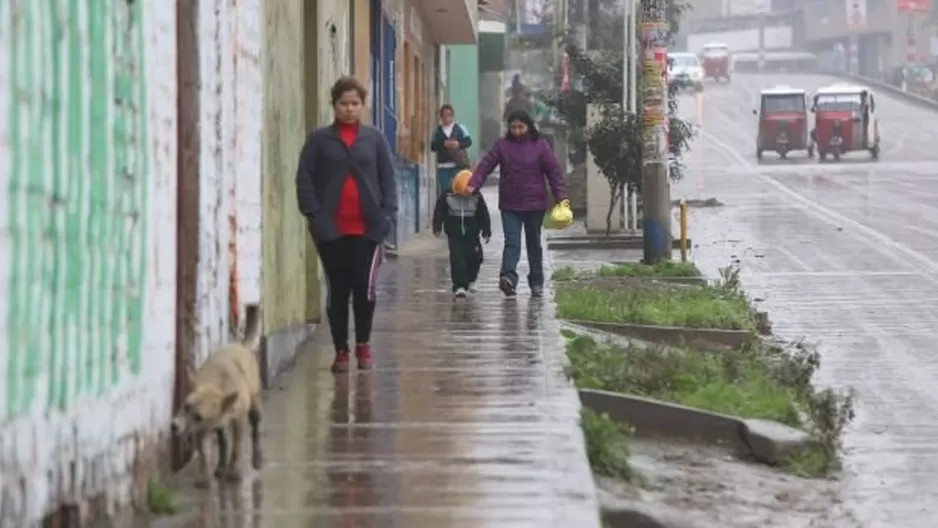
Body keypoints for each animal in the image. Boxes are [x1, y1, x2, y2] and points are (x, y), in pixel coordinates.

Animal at [169, 306, 262, 486]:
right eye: (185, 405)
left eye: (198, 416)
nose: (174, 426)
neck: (217, 385)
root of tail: (241, 346)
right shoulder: (200, 430)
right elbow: (204, 453)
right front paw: (204, 477)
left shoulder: (238, 421)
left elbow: (237, 447)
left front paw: (234, 471)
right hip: (219, 426)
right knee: (223, 441)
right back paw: (220, 467)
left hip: (254, 406)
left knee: (255, 428)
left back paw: (256, 458)